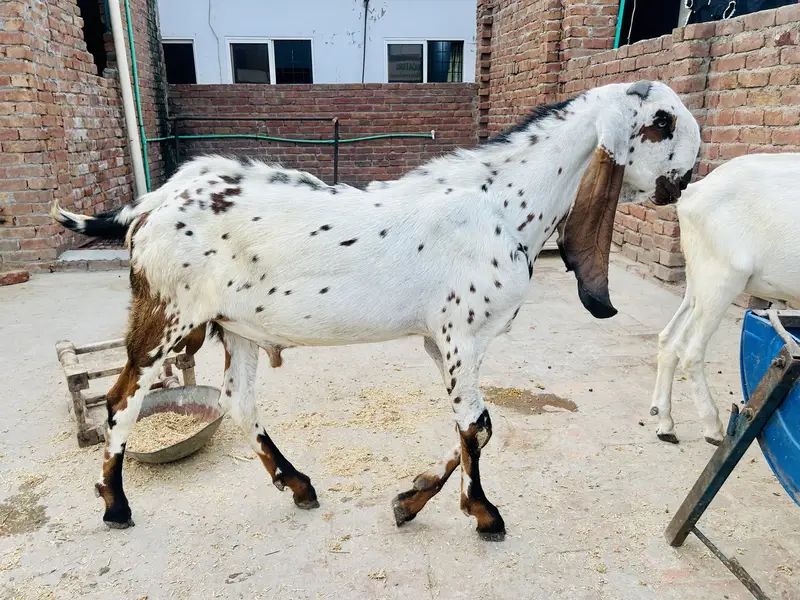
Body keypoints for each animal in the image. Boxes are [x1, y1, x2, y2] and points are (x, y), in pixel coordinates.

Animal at [52, 80, 700, 540]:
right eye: (664, 124)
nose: (684, 181)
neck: (500, 204)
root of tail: (153, 202)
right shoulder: (462, 335)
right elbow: (475, 425)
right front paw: (484, 514)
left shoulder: (443, 342)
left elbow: (476, 426)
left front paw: (411, 501)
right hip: (167, 315)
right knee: (121, 400)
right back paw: (115, 505)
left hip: (235, 328)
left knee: (238, 401)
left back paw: (298, 484)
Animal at [650, 153, 800, 445]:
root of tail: (693, 193)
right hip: (722, 277)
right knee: (690, 350)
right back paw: (713, 427)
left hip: (698, 278)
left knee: (669, 338)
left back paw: (665, 423)